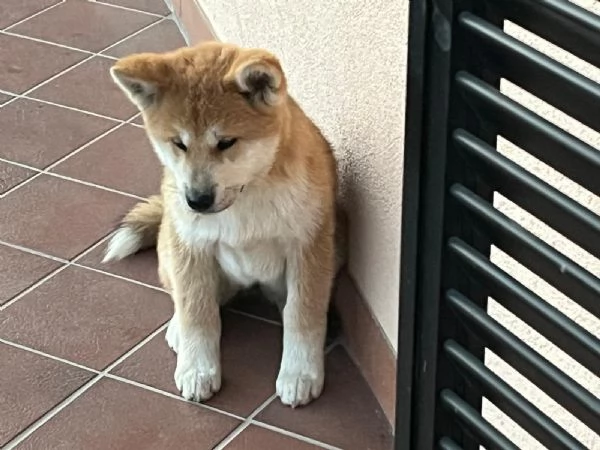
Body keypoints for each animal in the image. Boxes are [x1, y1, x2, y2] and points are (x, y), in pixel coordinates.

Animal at [105, 43, 342, 408]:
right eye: (179, 143)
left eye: (226, 142)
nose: (197, 200)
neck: (246, 198)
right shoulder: (191, 245)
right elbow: (198, 312)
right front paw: (197, 369)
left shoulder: (310, 243)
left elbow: (302, 313)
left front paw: (300, 372)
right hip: (174, 244)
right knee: (181, 293)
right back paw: (177, 328)